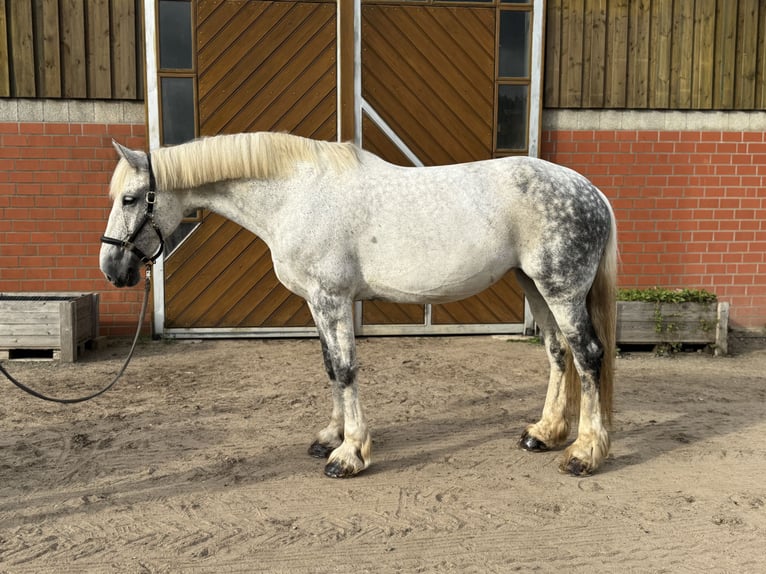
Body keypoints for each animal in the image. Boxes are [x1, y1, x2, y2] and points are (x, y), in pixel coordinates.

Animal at [100, 132, 617, 479]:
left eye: (129, 198)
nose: (111, 268)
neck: (295, 195)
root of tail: (593, 192)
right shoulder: (317, 302)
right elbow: (331, 367)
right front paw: (330, 438)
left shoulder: (331, 299)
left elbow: (347, 370)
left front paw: (349, 455)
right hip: (534, 284)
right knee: (558, 353)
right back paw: (543, 433)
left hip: (561, 289)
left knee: (588, 357)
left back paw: (583, 453)